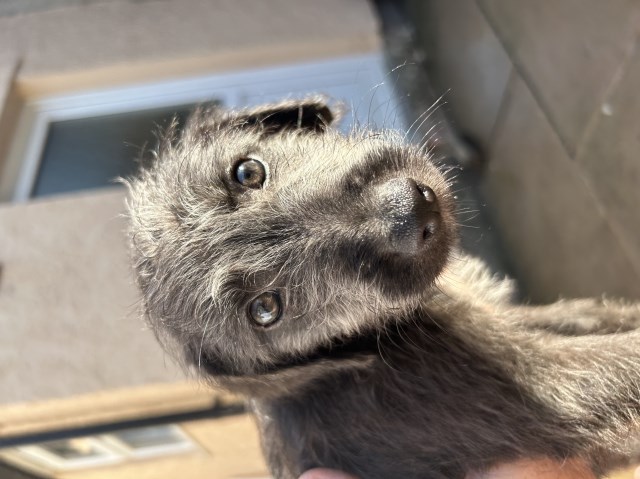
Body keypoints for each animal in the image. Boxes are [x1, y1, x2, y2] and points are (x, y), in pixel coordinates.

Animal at [125, 97, 640, 479]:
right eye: (266, 308)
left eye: (247, 172)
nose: (407, 211)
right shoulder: (555, 387)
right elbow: (622, 359)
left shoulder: (496, 316)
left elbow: (579, 313)